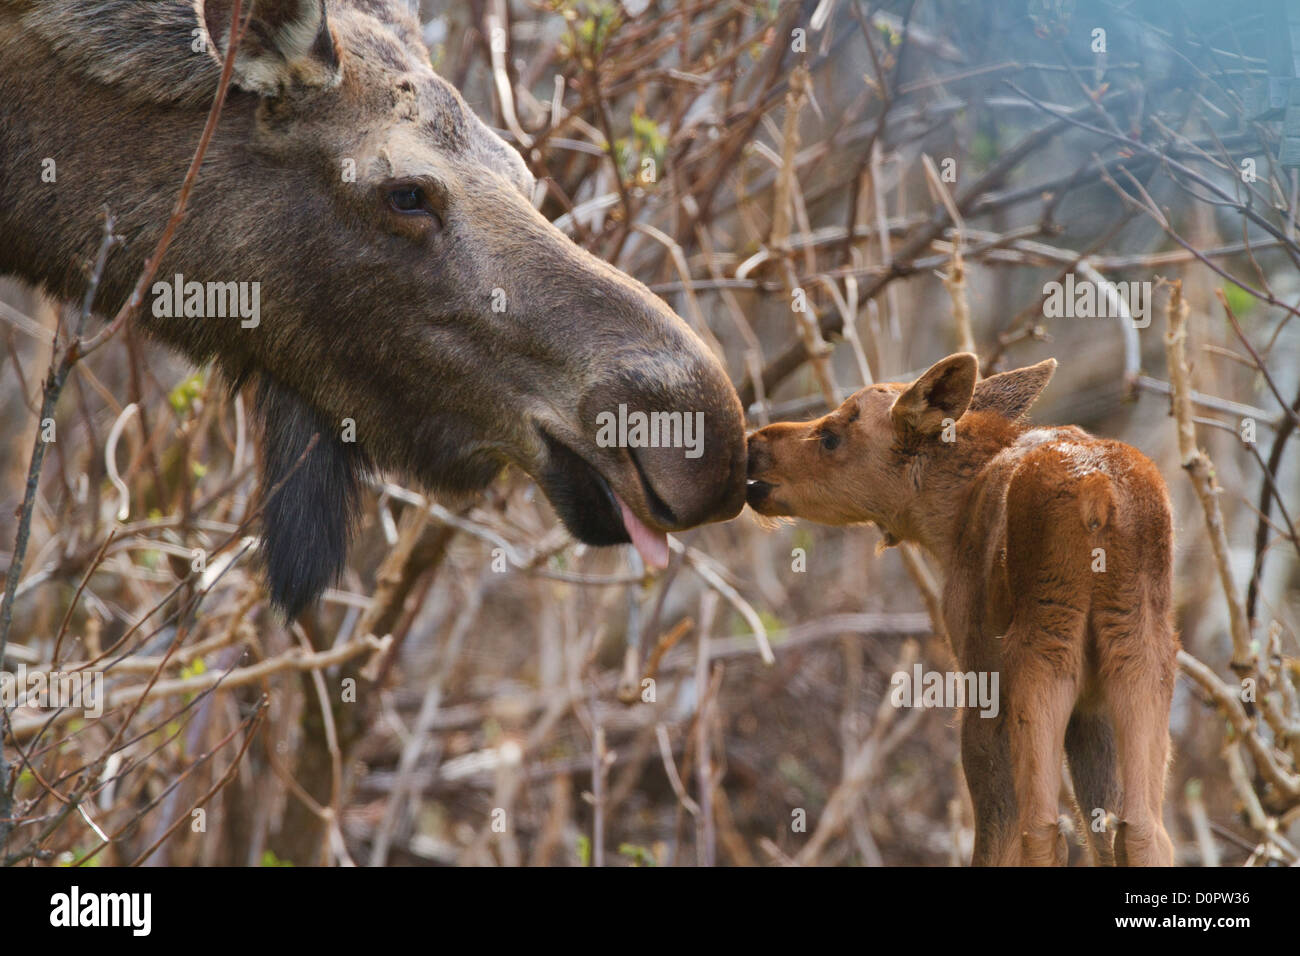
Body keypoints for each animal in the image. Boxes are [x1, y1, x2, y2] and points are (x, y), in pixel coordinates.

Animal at [743, 353, 1180, 868]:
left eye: (832, 436)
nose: (753, 443)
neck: (947, 521)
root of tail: (1099, 496)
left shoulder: (980, 677)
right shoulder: (1091, 710)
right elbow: (1102, 827)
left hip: (1040, 655)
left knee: (1040, 827)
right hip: (1139, 657)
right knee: (1142, 830)